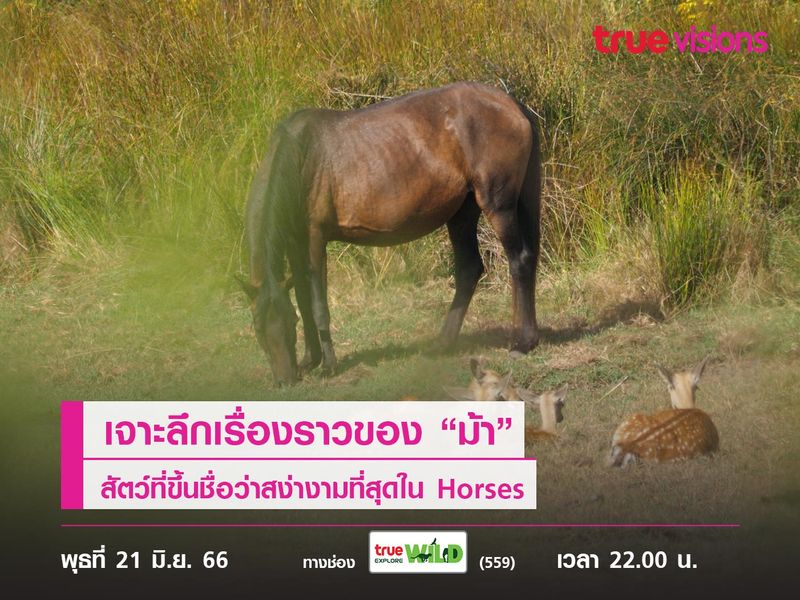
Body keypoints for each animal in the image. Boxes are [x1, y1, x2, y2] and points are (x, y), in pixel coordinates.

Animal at [241, 82, 542, 385]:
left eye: (288, 323)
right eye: (257, 326)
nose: (285, 379)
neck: (301, 156)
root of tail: (512, 105)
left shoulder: (315, 237)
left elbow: (318, 304)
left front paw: (328, 365)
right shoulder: (295, 242)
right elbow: (303, 299)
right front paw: (309, 360)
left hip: (498, 206)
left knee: (520, 261)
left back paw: (523, 343)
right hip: (462, 213)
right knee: (469, 269)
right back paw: (443, 343)